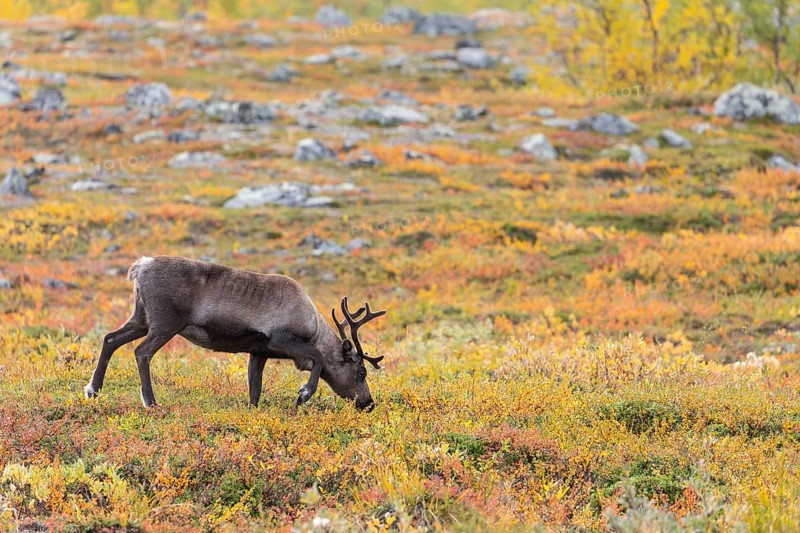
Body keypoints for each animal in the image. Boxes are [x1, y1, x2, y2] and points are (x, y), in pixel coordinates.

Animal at [84, 256, 386, 410]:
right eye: (361, 371)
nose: (369, 403)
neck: (313, 326)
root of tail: (139, 267)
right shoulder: (282, 338)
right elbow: (318, 358)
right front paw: (304, 394)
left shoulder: (258, 351)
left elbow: (255, 388)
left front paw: (253, 410)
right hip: (165, 323)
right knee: (141, 352)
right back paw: (150, 401)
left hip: (141, 318)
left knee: (110, 338)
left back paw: (93, 390)